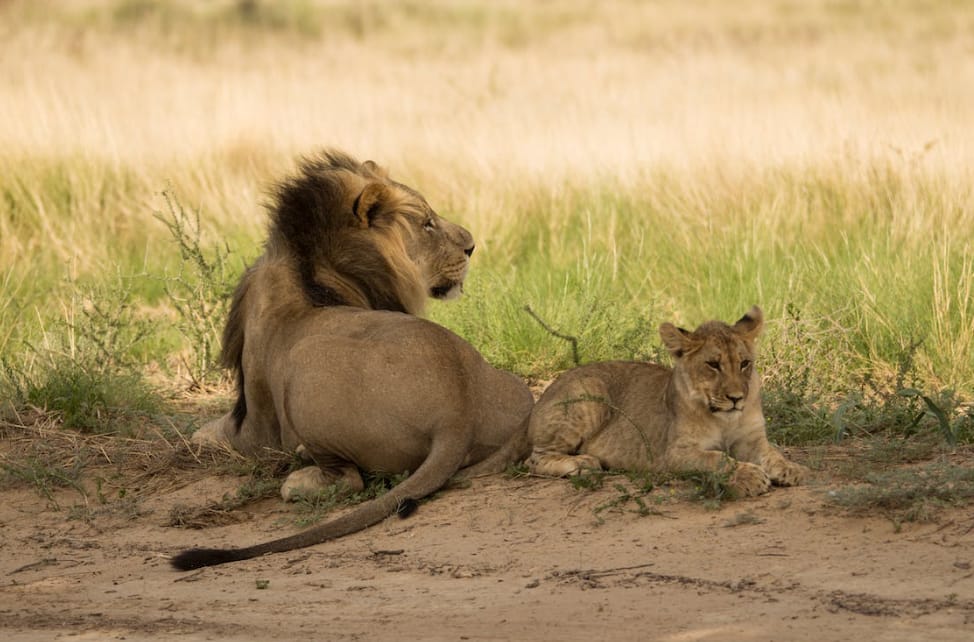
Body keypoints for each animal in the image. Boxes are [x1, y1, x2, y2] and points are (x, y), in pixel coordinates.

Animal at [171, 150, 534, 570]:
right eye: (427, 223)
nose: (472, 247)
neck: (311, 275)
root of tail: (458, 413)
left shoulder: (255, 432)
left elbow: (203, 436)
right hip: (512, 389)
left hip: (304, 366)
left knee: (348, 478)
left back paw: (298, 475)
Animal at [524, 306, 807, 496]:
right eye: (713, 365)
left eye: (745, 363)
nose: (737, 398)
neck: (723, 419)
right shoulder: (675, 453)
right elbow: (718, 458)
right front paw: (750, 476)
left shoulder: (751, 439)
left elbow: (772, 454)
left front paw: (792, 469)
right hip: (590, 392)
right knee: (534, 459)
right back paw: (583, 463)